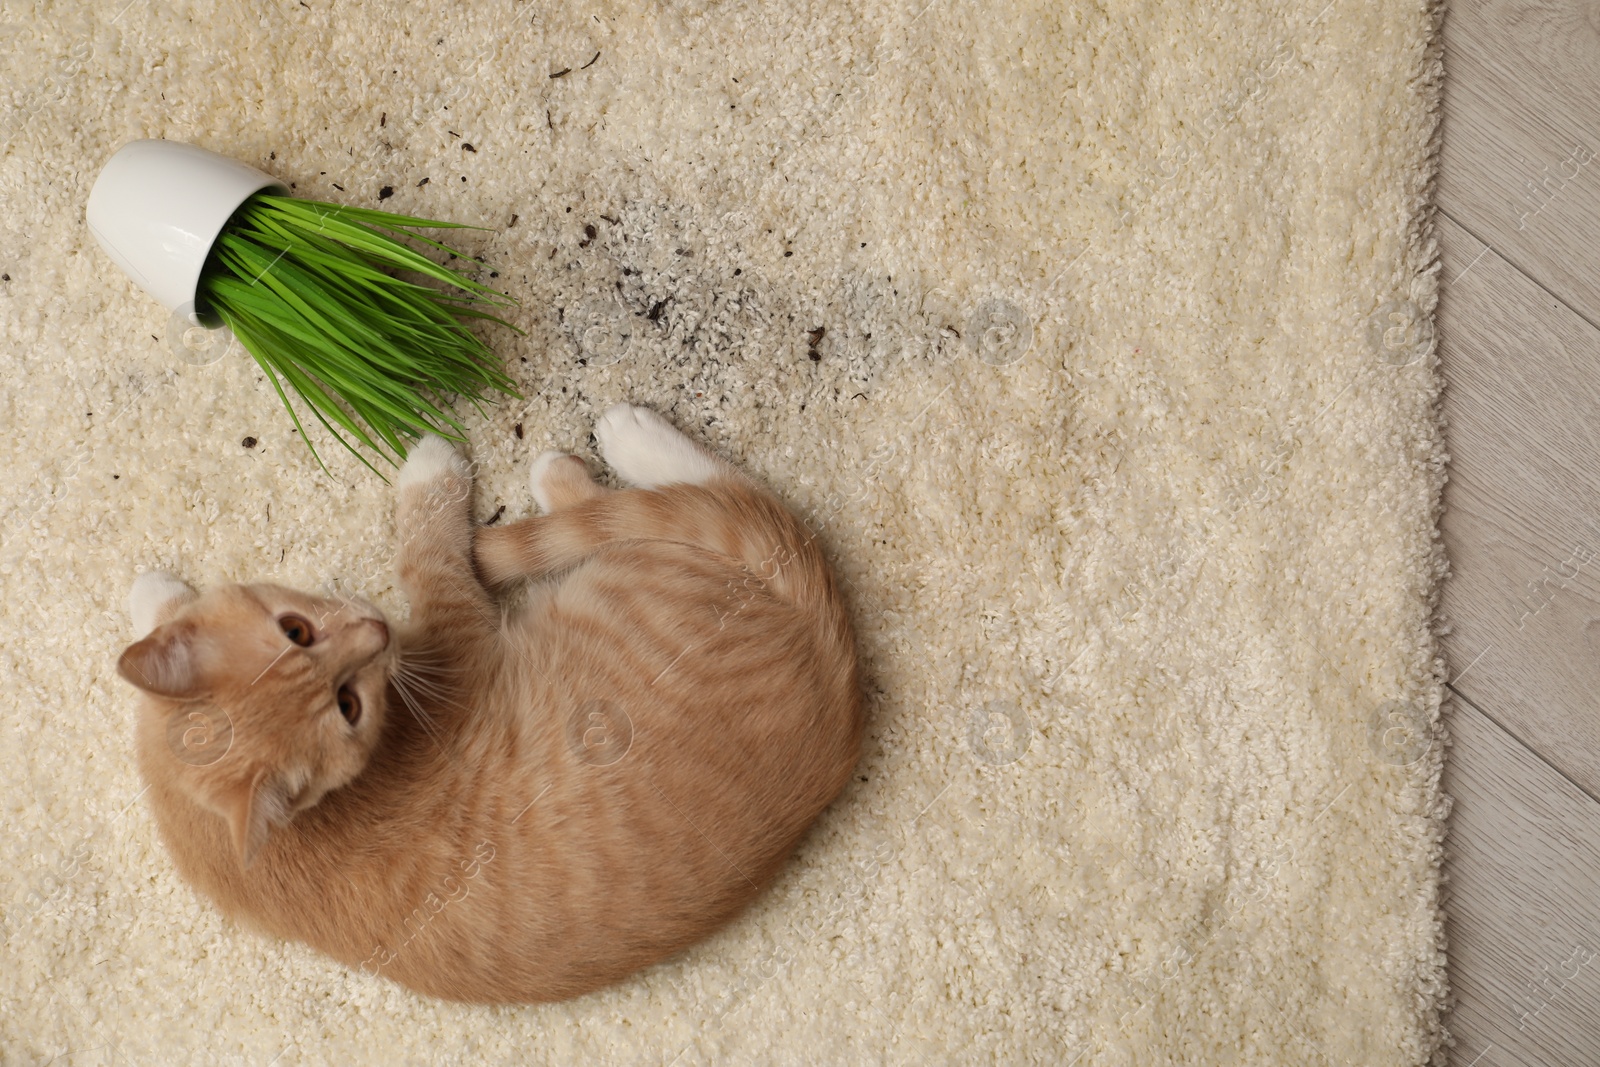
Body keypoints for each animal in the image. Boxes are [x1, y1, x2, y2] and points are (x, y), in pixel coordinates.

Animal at [116, 404, 864, 1004]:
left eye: (294, 629)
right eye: (349, 705)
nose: (377, 632)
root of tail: (837, 702)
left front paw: (154, 598)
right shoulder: (458, 640)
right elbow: (426, 557)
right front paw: (430, 473)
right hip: (642, 577)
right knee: (716, 502)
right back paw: (599, 454)